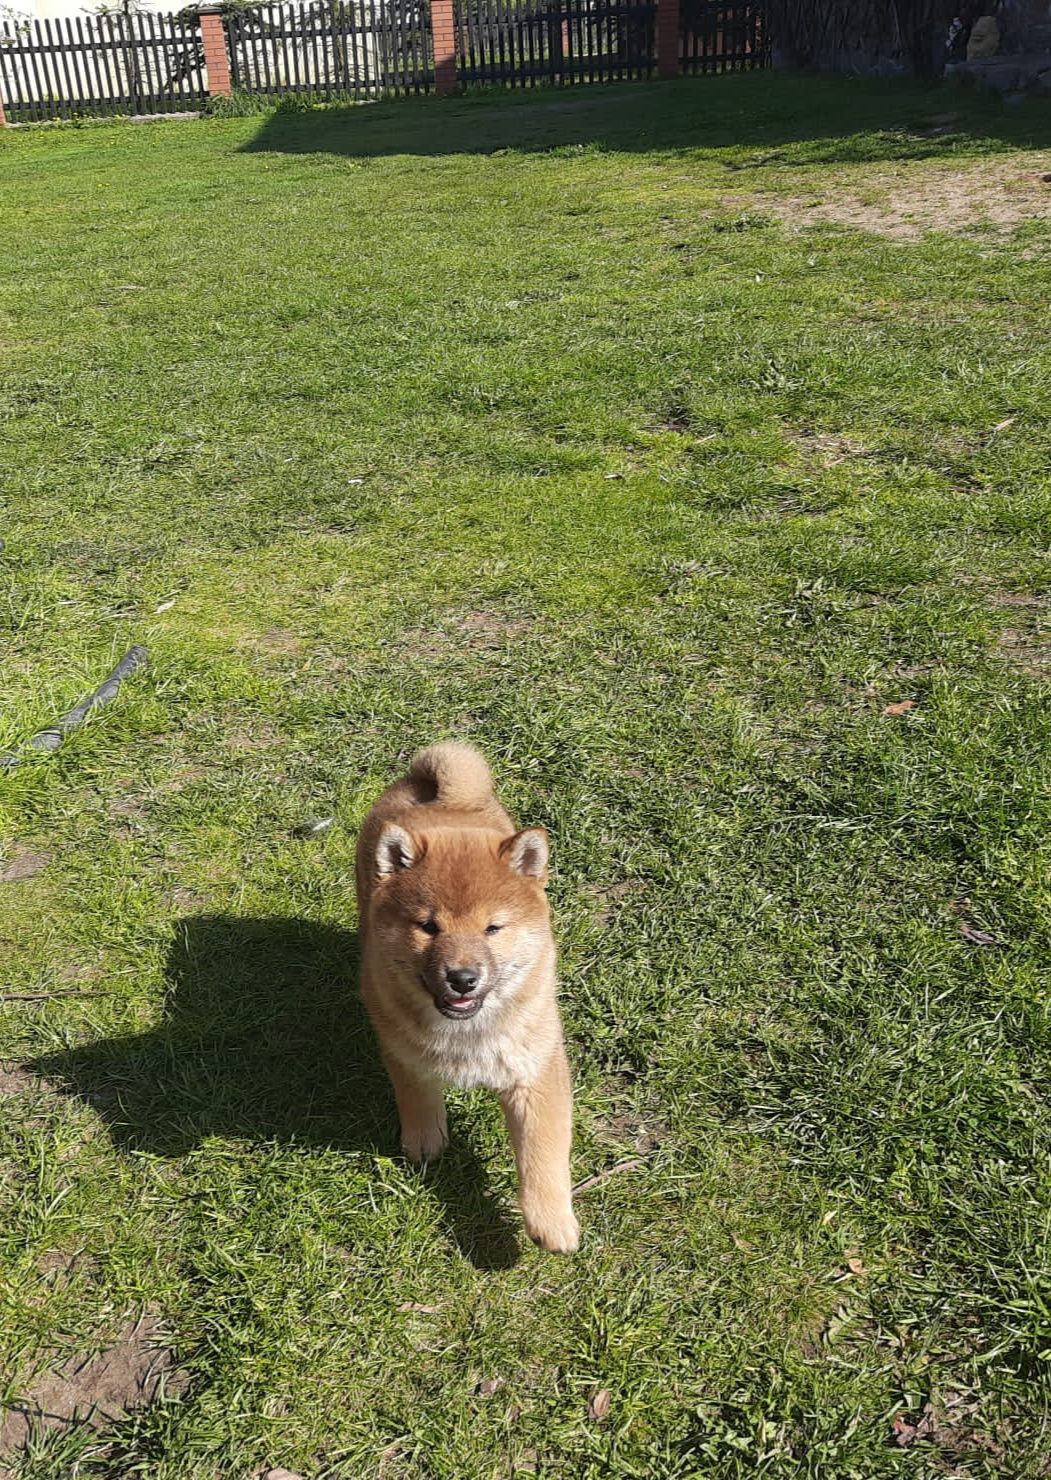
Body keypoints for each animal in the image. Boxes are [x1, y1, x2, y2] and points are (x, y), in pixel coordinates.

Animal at [358, 751, 580, 1249]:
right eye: (428, 927)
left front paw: (551, 1220)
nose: (462, 978)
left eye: (492, 928)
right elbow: (418, 1096)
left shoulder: (534, 1071)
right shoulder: (403, 1050)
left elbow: (543, 1151)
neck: (468, 1033)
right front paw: (425, 1140)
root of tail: (445, 796)